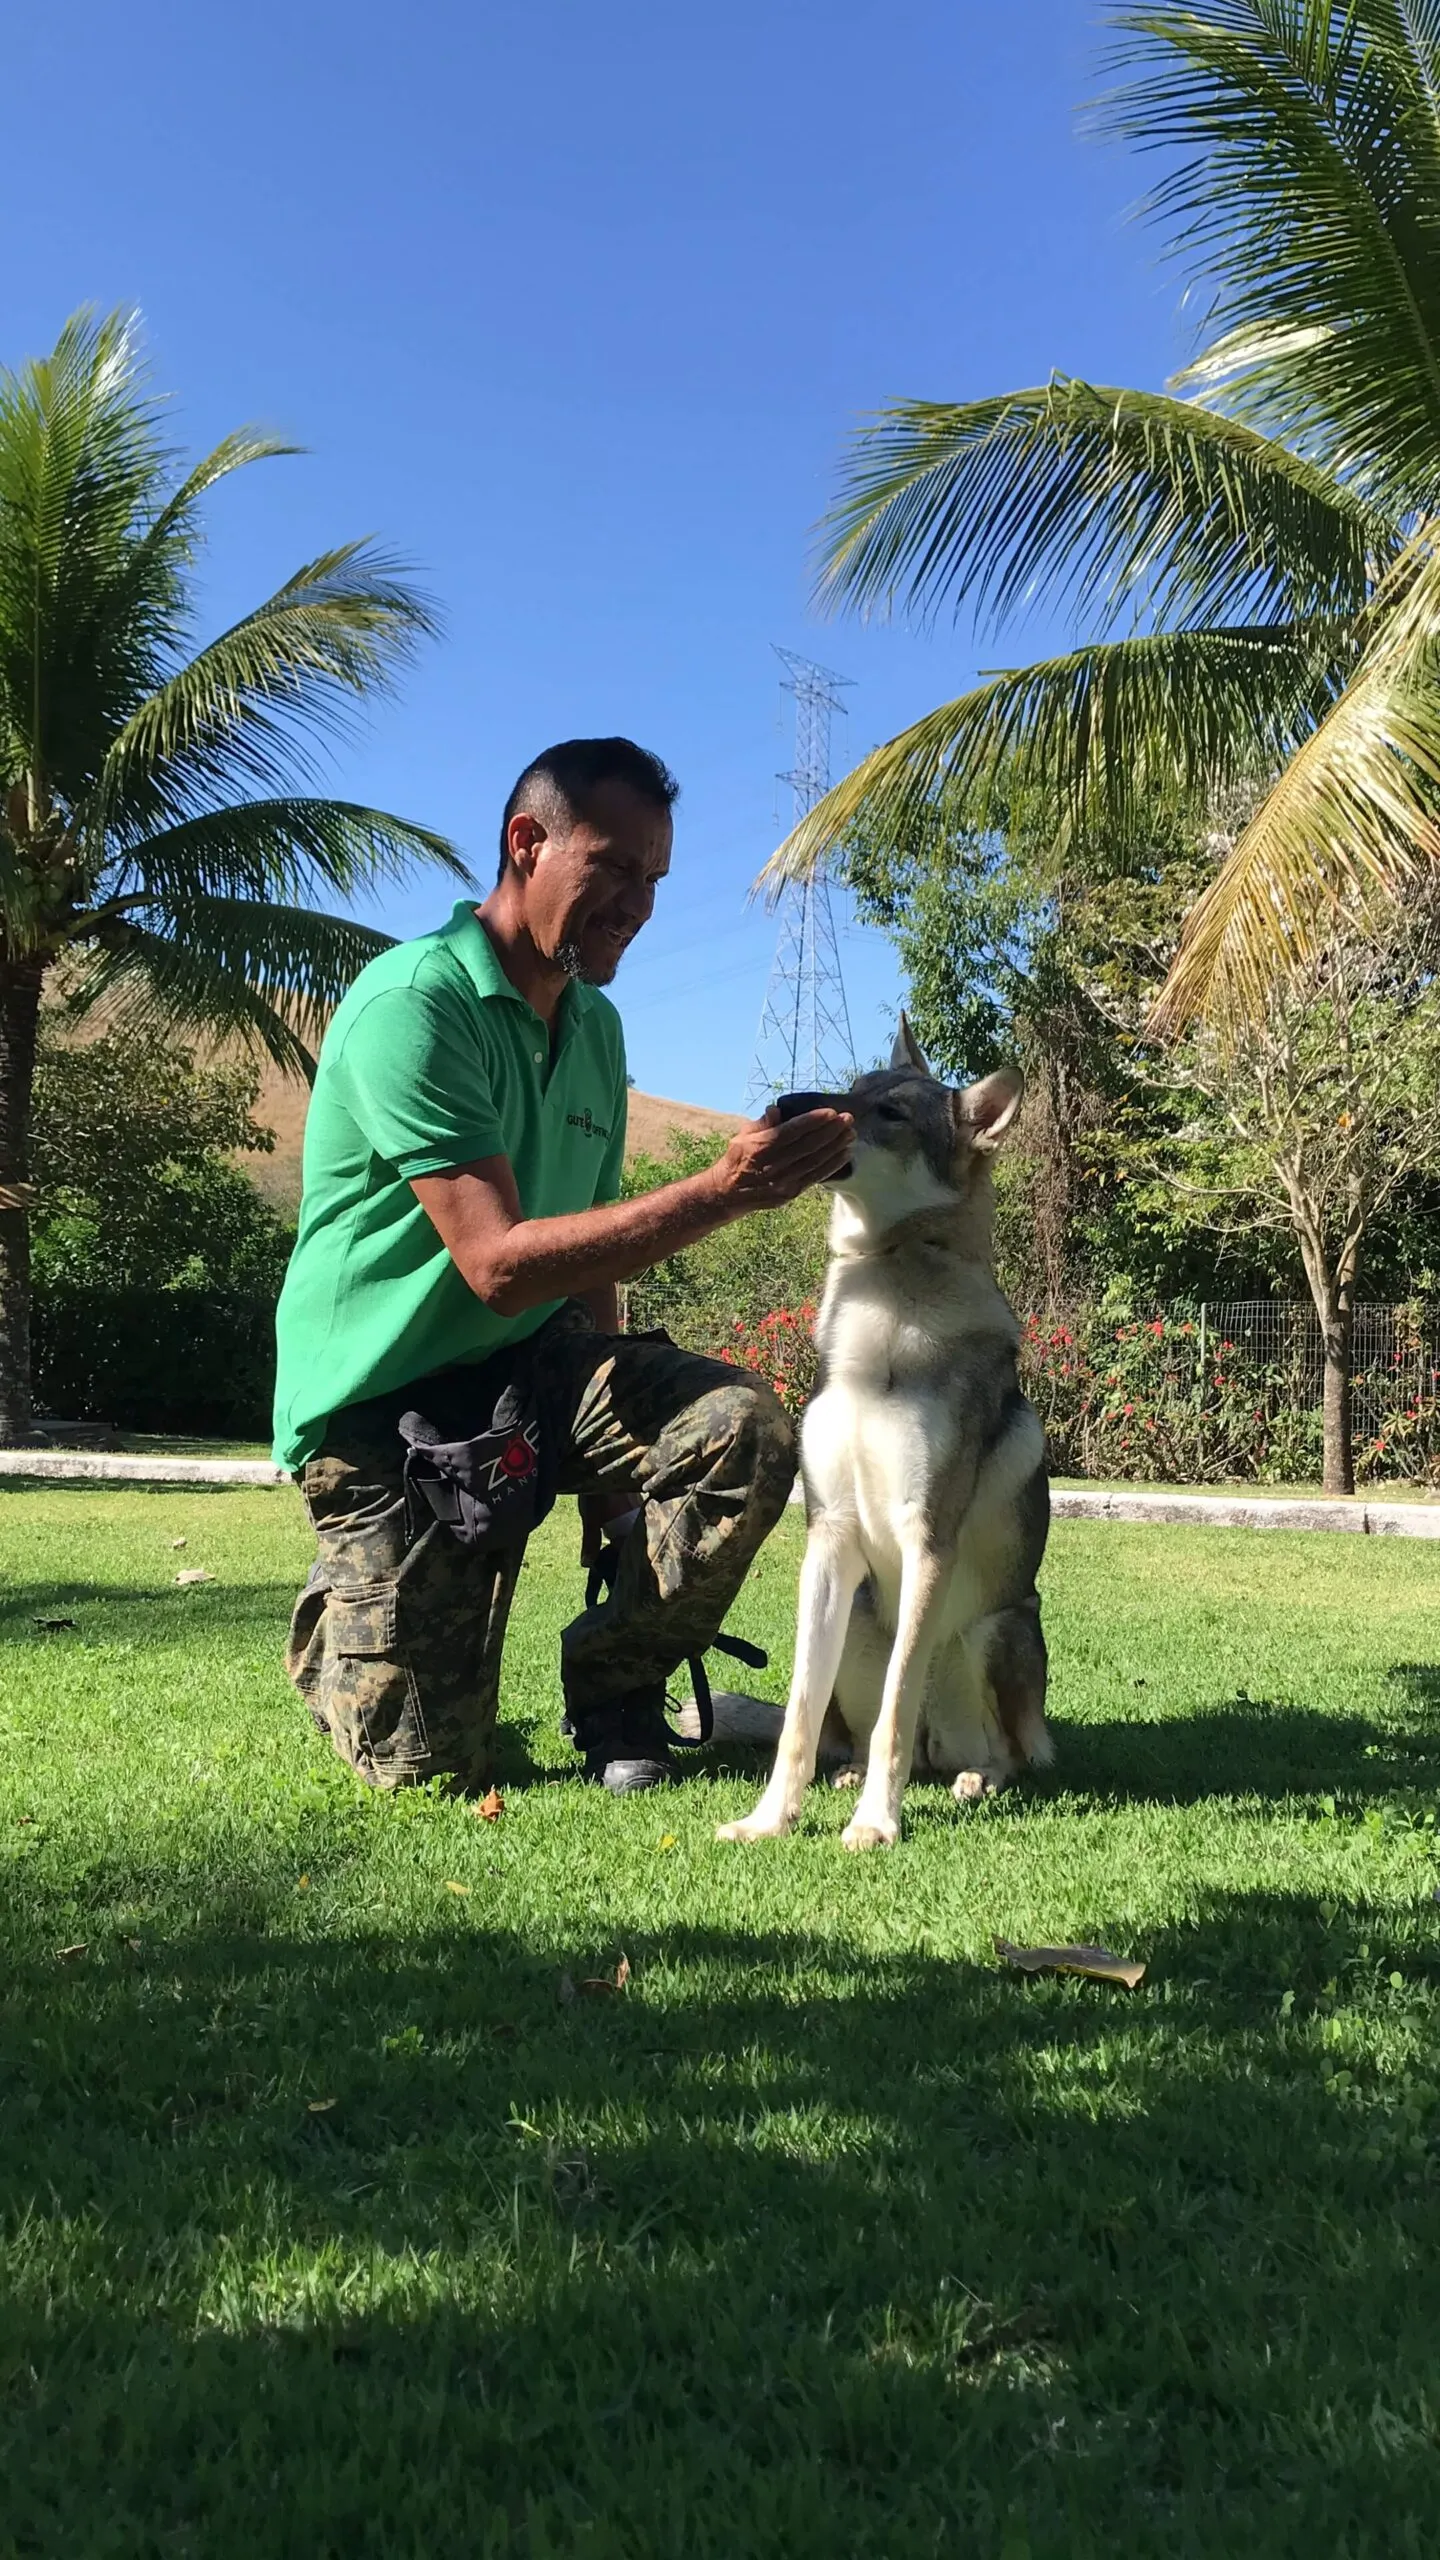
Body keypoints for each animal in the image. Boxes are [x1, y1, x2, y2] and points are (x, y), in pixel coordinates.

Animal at [717, 1018, 1052, 1852]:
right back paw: (848, 1777)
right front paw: (771, 1819)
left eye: (891, 1113)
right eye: (853, 1088)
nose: (787, 1105)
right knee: (852, 1736)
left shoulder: (926, 1539)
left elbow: (895, 1714)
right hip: (864, 1619)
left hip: (994, 1630)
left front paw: (876, 1822)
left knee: (1001, 1753)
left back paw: (971, 1782)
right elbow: (798, 1715)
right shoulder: (829, 1539)